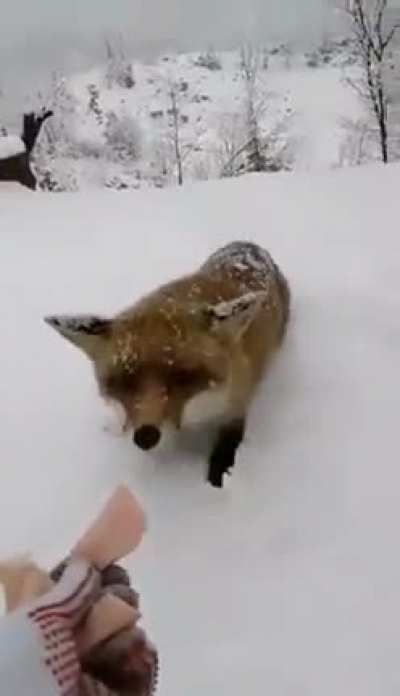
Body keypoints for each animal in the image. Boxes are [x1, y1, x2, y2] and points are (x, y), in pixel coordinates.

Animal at [45, 241, 290, 487]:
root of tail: (246, 244)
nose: (145, 437)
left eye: (183, 377)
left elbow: (225, 450)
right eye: (124, 381)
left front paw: (217, 483)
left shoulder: (237, 406)